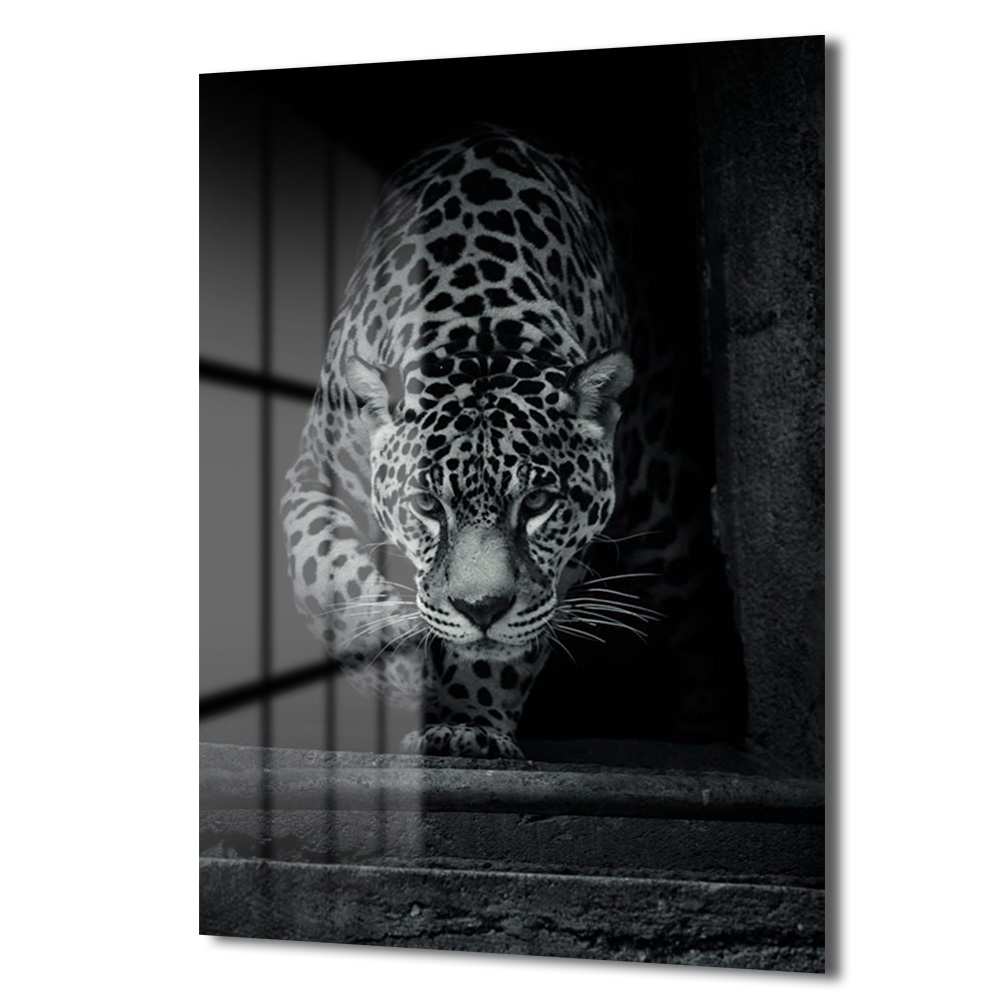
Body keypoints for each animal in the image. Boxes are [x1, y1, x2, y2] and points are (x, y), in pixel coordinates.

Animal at [282, 128, 737, 759]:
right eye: (427, 505)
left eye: (538, 503)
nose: (482, 610)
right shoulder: (310, 479)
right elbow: (323, 574)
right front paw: (395, 658)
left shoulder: (563, 558)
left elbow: (506, 649)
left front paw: (468, 721)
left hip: (664, 497)